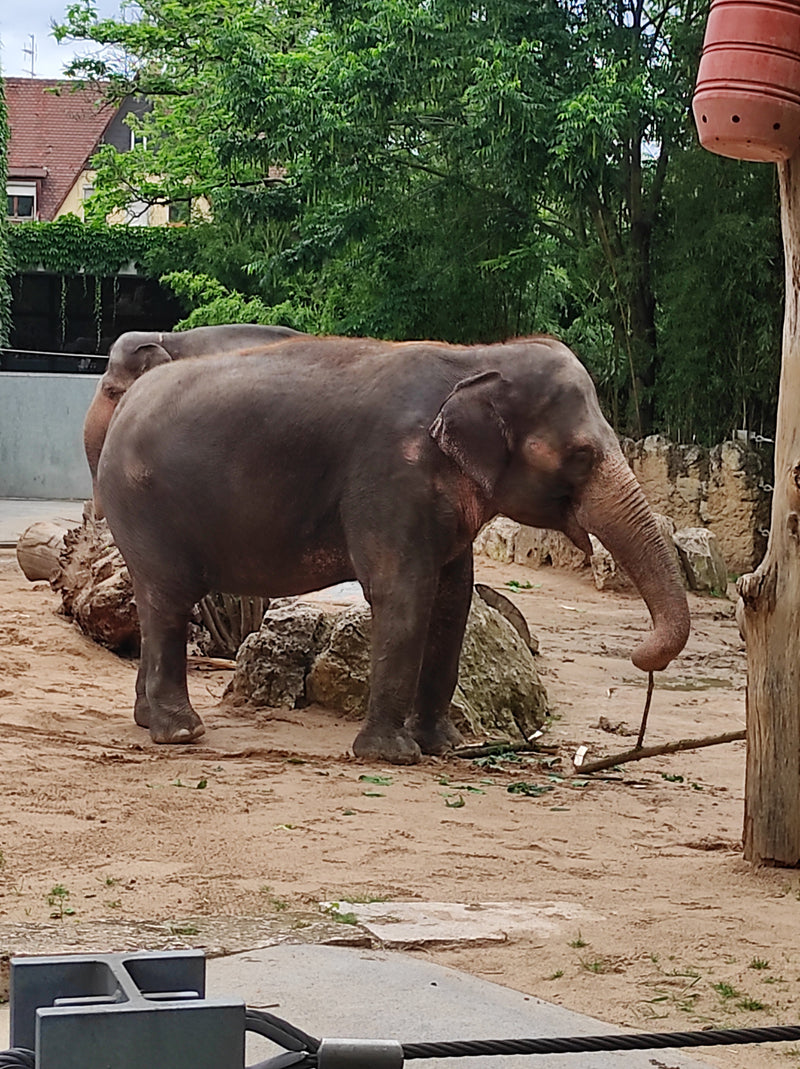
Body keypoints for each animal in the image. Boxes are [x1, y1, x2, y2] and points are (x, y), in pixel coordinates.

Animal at [98, 333, 691, 764]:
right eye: (582, 455)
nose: (642, 657)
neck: (477, 357)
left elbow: (454, 600)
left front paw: (444, 746)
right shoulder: (390, 476)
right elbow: (403, 595)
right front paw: (393, 755)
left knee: (155, 603)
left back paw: (149, 721)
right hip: (146, 507)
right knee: (170, 600)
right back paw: (182, 734)